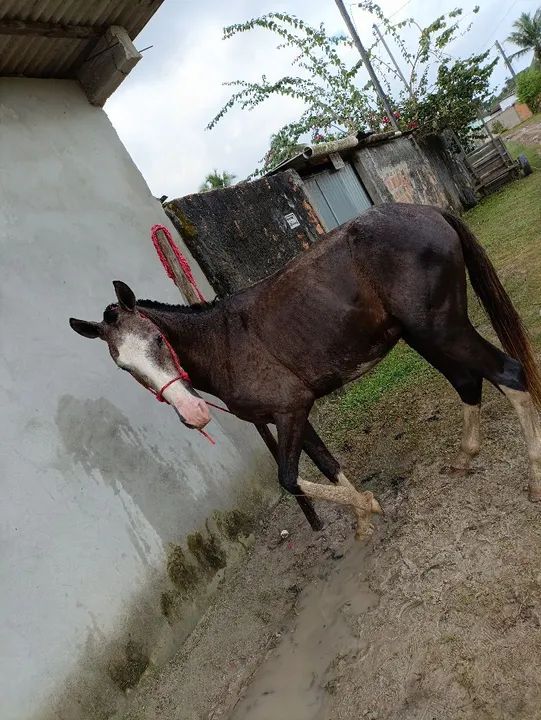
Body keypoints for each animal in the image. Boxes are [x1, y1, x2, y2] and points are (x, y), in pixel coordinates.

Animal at [70, 203, 541, 539]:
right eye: (123, 365)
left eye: (156, 340)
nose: (194, 414)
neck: (224, 342)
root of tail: (427, 210)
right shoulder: (293, 412)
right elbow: (327, 464)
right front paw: (364, 517)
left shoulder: (290, 411)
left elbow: (289, 479)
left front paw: (367, 506)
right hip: (423, 335)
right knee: (468, 381)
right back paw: (464, 458)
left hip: (441, 328)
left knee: (510, 374)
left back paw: (534, 481)